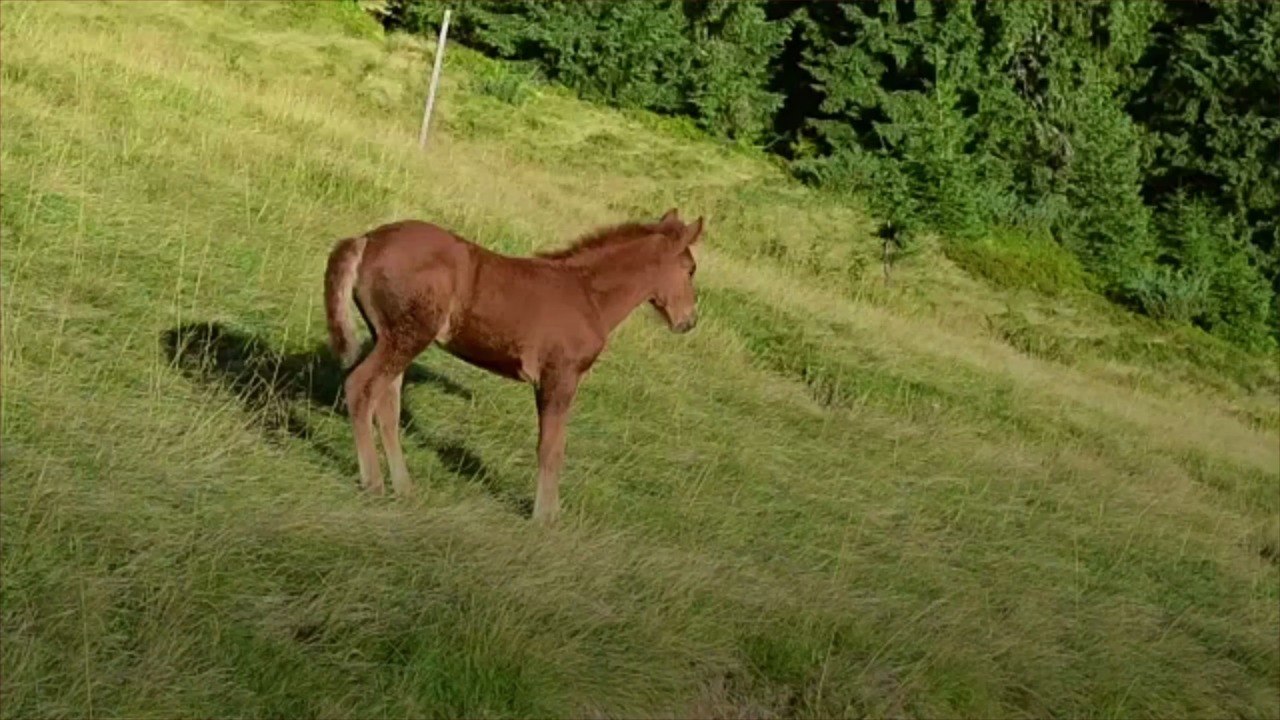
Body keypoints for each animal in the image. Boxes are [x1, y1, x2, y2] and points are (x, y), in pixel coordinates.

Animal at [323, 208, 704, 524]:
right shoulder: (560, 376)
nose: (688, 321)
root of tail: (367, 240)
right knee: (360, 387)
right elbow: (552, 448)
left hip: (393, 337)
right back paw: (373, 483)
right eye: (690, 270)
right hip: (408, 336)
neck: (588, 295)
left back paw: (404, 487)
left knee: (387, 405)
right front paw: (546, 518)